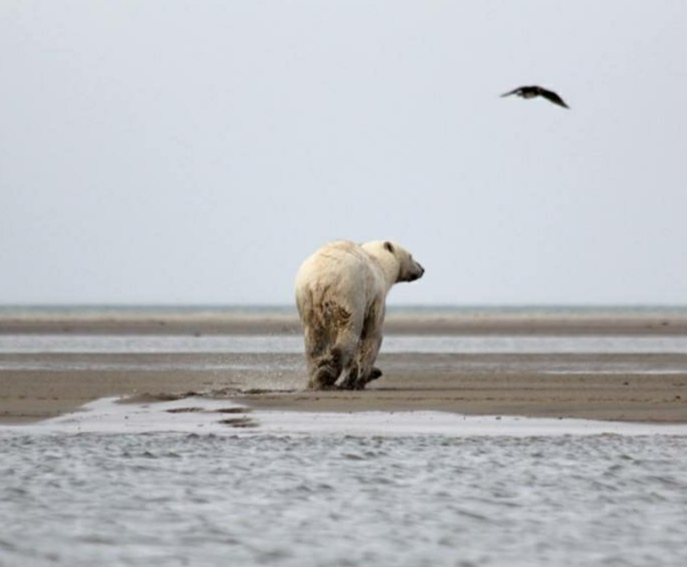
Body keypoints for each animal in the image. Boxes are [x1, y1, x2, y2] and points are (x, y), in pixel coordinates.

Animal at [296, 240, 424, 390]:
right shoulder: (375, 297)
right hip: (348, 295)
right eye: (411, 256)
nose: (422, 268)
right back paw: (326, 375)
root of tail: (318, 280)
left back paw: (314, 377)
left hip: (306, 303)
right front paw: (361, 379)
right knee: (349, 332)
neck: (378, 263)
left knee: (313, 340)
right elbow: (372, 335)